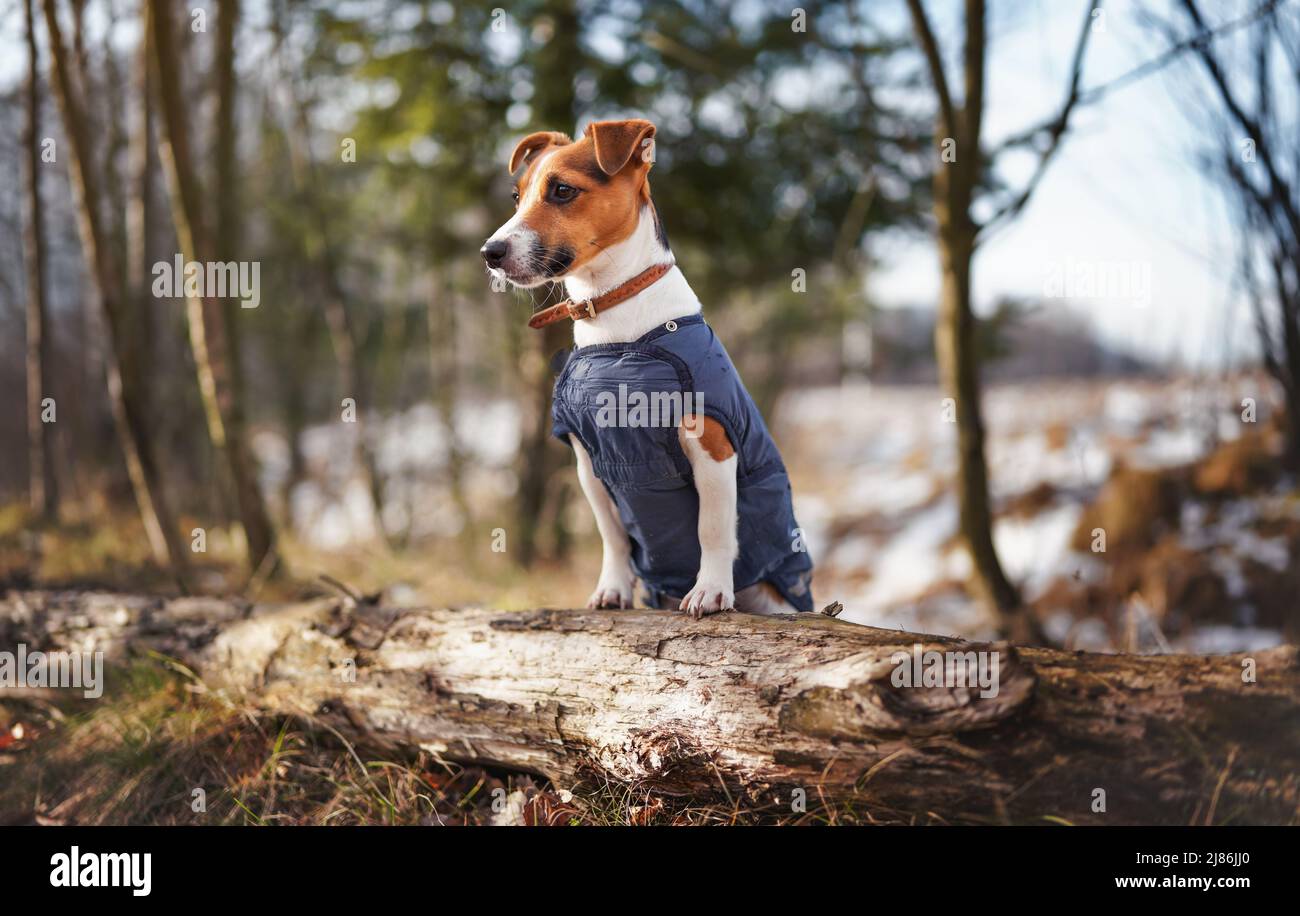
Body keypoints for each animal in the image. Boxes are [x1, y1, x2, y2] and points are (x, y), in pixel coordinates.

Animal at [486, 114, 811, 613]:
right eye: (516, 197)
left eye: (562, 190)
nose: (490, 252)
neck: (615, 326)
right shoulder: (588, 463)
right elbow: (613, 535)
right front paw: (613, 587)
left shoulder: (713, 446)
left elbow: (713, 528)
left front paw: (710, 589)